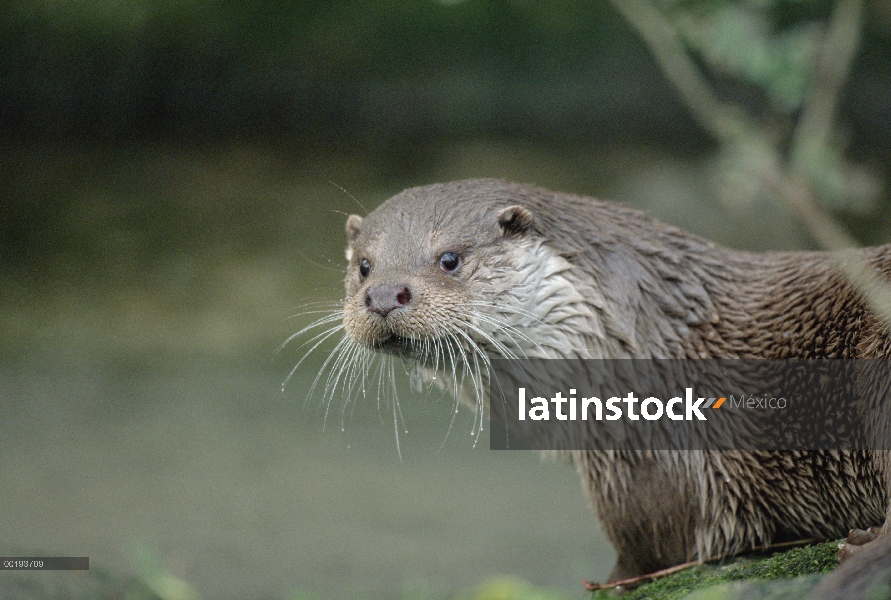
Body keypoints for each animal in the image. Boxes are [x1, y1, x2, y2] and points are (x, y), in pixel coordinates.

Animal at [334, 178, 891, 580]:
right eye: (364, 267)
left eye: (449, 259)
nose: (382, 296)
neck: (633, 345)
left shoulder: (659, 463)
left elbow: (652, 548)